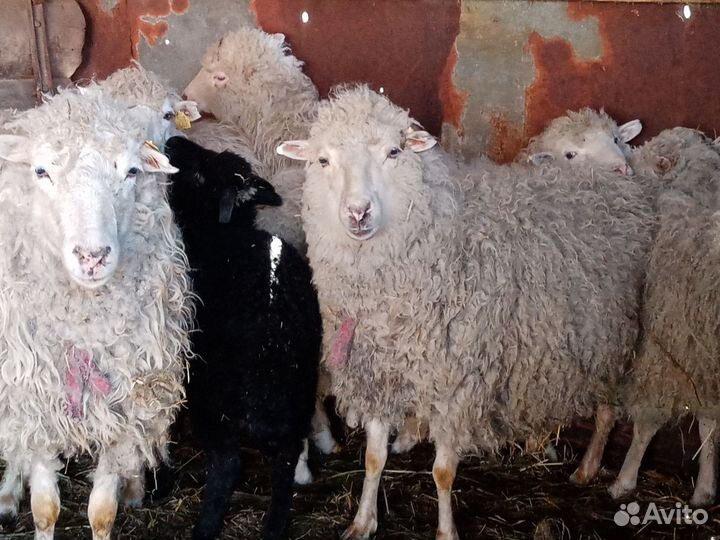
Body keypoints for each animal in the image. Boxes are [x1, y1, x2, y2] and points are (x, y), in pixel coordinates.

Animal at [0, 85, 192, 540]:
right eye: (40, 172)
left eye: (131, 172)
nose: (92, 256)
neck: (84, 325)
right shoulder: (35, 397)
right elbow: (46, 508)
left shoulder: (126, 408)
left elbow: (102, 511)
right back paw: (7, 494)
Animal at [164, 135, 321, 540]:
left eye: (200, 173)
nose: (172, 140)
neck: (225, 236)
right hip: (300, 395)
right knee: (284, 464)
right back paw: (274, 528)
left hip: (213, 399)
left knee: (228, 464)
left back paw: (205, 527)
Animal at [277, 85, 654, 539]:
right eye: (322, 160)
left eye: (393, 152)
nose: (358, 212)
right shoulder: (382, 374)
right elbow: (372, 457)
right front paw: (363, 520)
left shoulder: (458, 385)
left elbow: (443, 472)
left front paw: (445, 531)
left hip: (617, 340)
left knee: (607, 411)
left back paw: (588, 468)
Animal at [606, 127, 720, 506]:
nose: (624, 169)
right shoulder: (702, 362)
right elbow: (709, 423)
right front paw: (704, 489)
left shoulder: (663, 354)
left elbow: (647, 423)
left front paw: (624, 479)